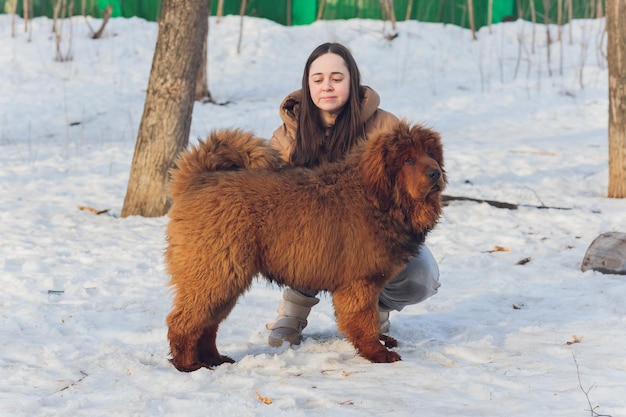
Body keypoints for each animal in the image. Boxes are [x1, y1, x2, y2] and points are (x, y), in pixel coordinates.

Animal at [166, 120, 444, 370]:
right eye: (408, 160)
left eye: (430, 154)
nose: (436, 173)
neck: (374, 199)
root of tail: (198, 178)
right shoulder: (360, 283)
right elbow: (365, 322)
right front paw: (377, 353)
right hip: (216, 272)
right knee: (184, 321)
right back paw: (188, 364)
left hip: (223, 277)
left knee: (208, 323)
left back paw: (214, 359)